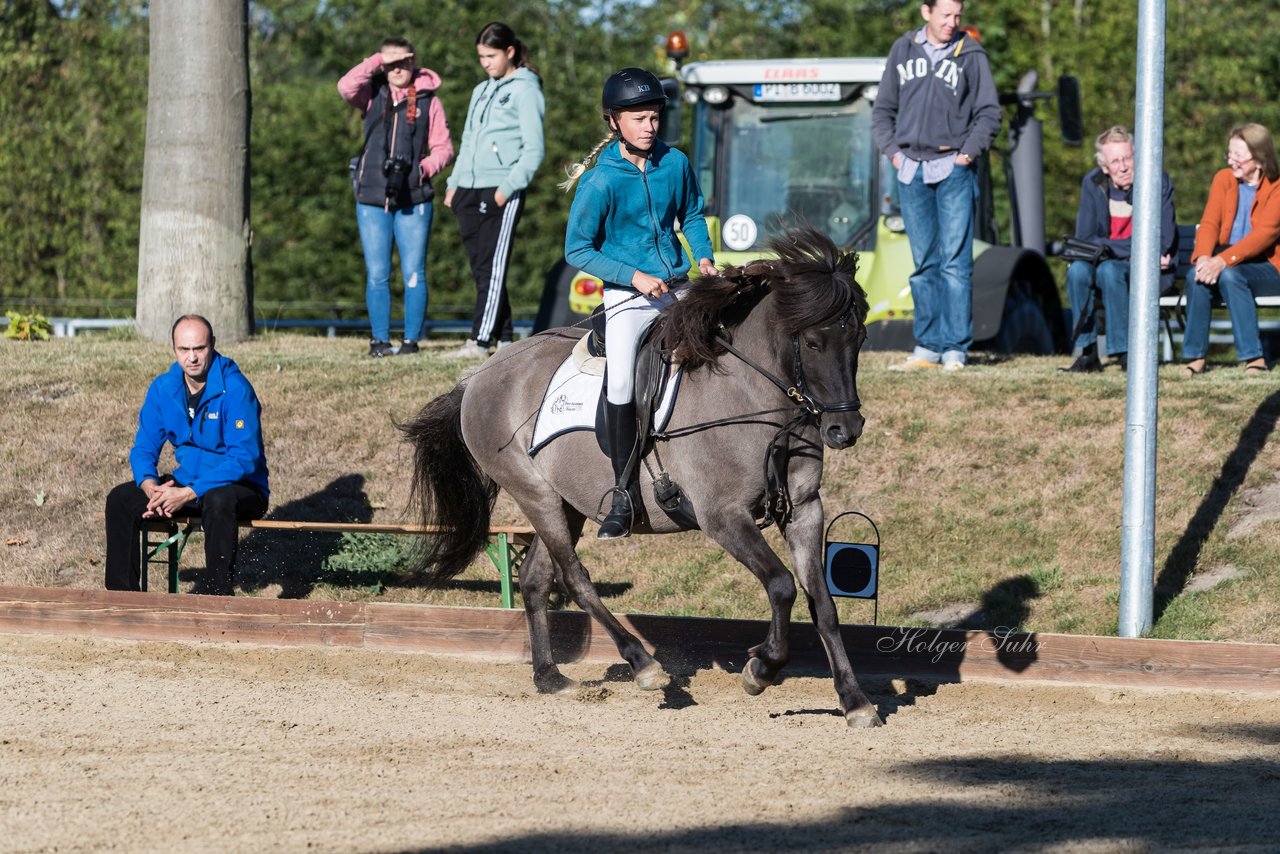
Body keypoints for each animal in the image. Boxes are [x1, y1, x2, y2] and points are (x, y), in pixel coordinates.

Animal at [404, 226, 885, 727]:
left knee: (536, 578)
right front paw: (762, 668)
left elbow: (823, 603)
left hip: (567, 502)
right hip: (534, 493)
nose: (844, 430)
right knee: (573, 577)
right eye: (812, 343)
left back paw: (551, 678)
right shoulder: (723, 515)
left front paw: (855, 701)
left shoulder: (805, 510)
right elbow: (782, 585)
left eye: (860, 338)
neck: (758, 397)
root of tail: (479, 376)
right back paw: (642, 664)